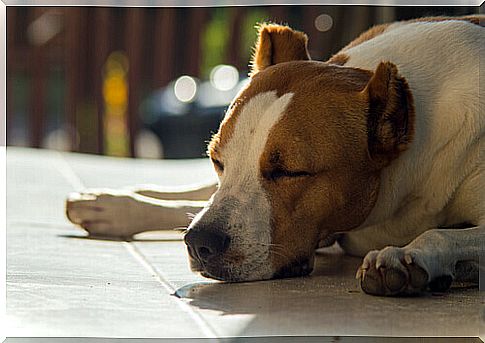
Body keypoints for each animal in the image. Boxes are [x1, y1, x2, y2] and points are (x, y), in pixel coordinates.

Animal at [65, 14, 484, 296]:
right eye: (217, 161)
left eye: (290, 172)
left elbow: (441, 234)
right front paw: (119, 205)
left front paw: (405, 258)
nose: (200, 243)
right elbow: (196, 201)